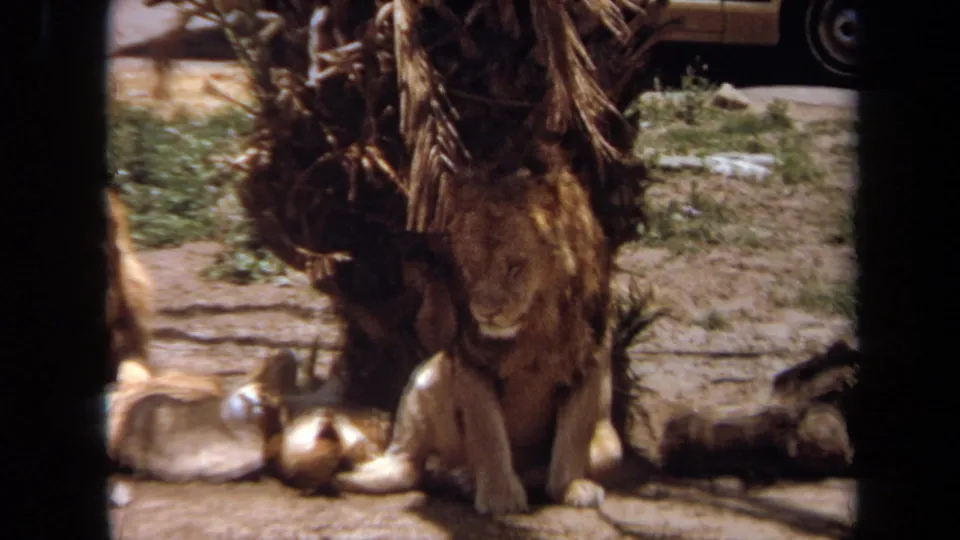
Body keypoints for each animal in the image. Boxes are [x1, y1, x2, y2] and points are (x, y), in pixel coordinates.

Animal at [332, 153, 623, 515]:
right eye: (471, 266)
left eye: (515, 267)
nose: (486, 312)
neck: (535, 327)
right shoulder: (471, 358)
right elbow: (487, 431)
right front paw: (500, 497)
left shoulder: (590, 357)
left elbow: (573, 436)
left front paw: (570, 487)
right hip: (430, 373)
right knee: (409, 462)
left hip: (611, 449)